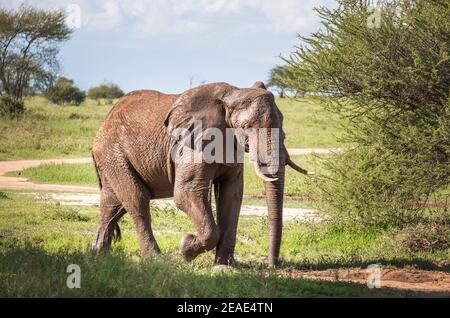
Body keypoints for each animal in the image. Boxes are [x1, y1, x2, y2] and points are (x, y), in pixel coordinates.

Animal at [91, 80, 310, 266]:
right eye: (246, 128)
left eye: (282, 122)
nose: (272, 265)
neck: (233, 94)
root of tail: (104, 123)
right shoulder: (193, 144)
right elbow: (187, 193)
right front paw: (186, 248)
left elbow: (231, 195)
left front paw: (224, 266)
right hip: (113, 153)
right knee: (137, 200)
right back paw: (155, 259)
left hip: (113, 158)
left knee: (112, 204)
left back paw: (99, 255)